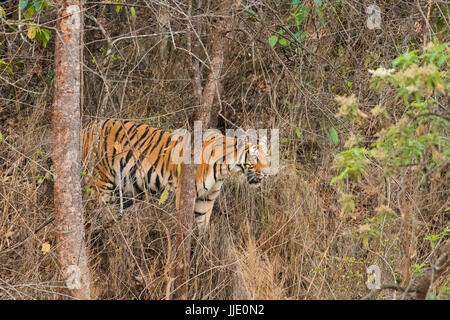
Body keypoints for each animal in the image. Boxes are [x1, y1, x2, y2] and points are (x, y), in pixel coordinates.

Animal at [81, 119, 270, 231]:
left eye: (266, 156)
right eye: (255, 157)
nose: (267, 174)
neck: (225, 168)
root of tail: (88, 126)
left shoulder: (206, 199)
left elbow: (202, 227)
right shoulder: (185, 194)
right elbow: (185, 226)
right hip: (101, 182)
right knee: (94, 212)